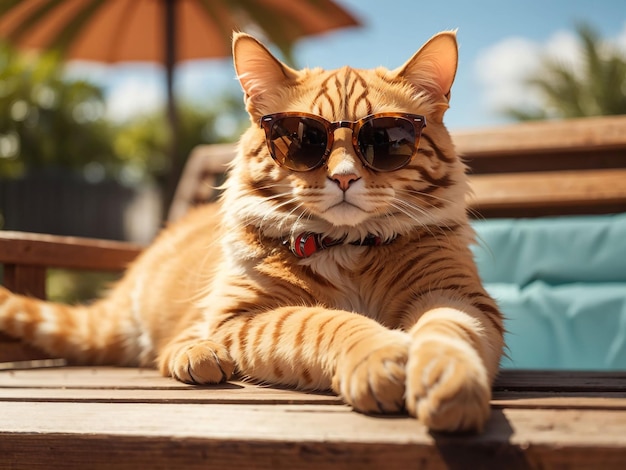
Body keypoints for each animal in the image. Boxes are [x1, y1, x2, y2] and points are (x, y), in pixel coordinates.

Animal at [0, 31, 502, 432]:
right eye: (303, 138)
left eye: (386, 139)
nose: (343, 177)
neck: (349, 248)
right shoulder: (244, 316)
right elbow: (326, 322)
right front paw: (380, 354)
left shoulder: (453, 295)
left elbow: (448, 331)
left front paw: (448, 380)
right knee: (175, 341)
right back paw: (198, 355)